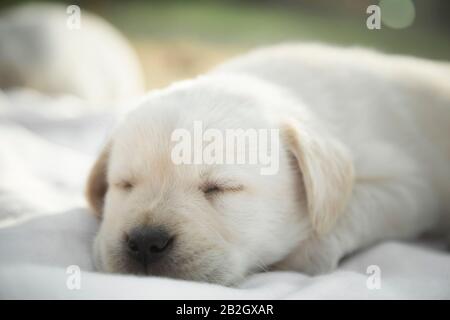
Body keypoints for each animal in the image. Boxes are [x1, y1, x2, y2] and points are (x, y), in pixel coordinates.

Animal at [85, 43, 450, 284]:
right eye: (124, 184)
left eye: (221, 188)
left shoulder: (406, 183)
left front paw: (308, 249)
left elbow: (352, 207)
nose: (146, 242)